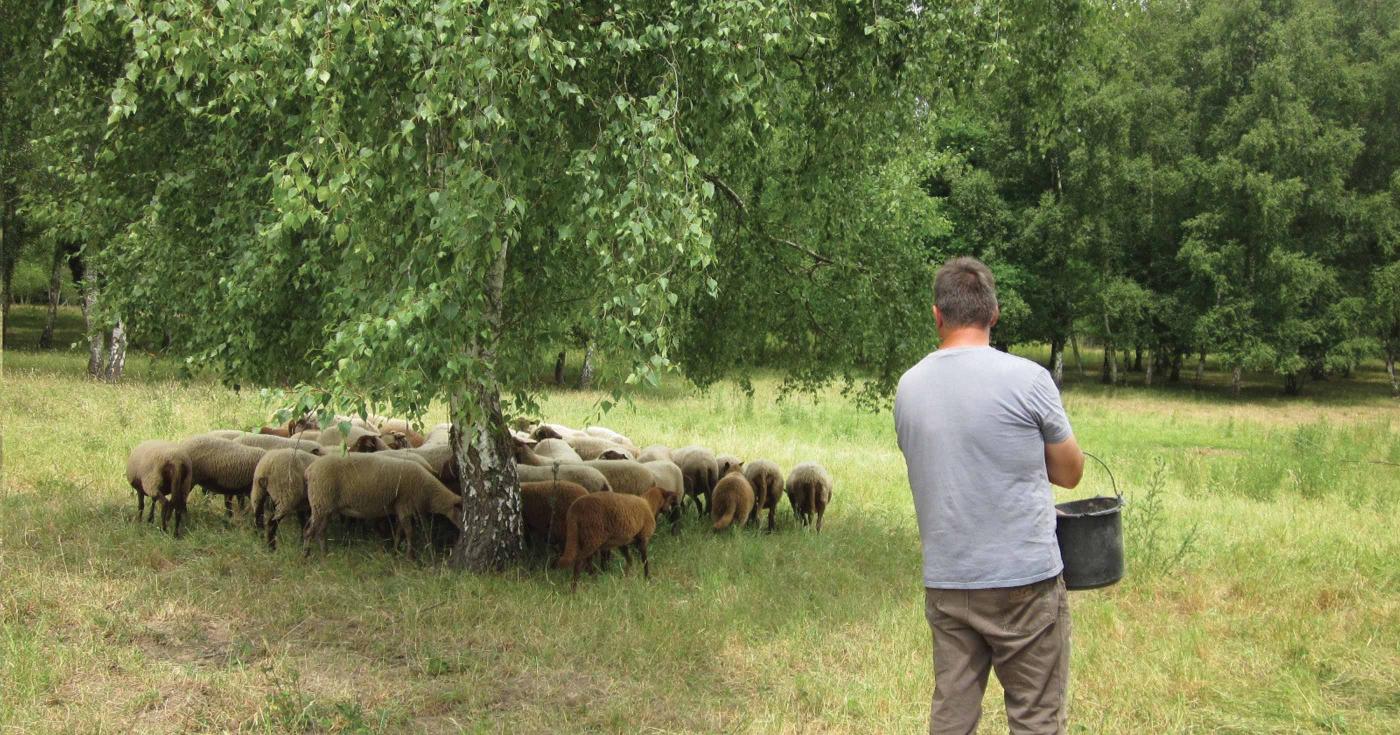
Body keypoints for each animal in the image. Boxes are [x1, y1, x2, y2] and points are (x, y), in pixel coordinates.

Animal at [302, 453, 464, 557]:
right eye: (461, 511)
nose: (462, 530)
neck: (428, 493)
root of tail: (310, 469)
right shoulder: (405, 506)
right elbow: (409, 532)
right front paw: (410, 557)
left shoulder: (399, 508)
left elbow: (399, 532)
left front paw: (395, 551)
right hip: (320, 501)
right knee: (310, 531)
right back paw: (306, 555)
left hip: (325, 506)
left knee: (320, 531)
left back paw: (325, 554)